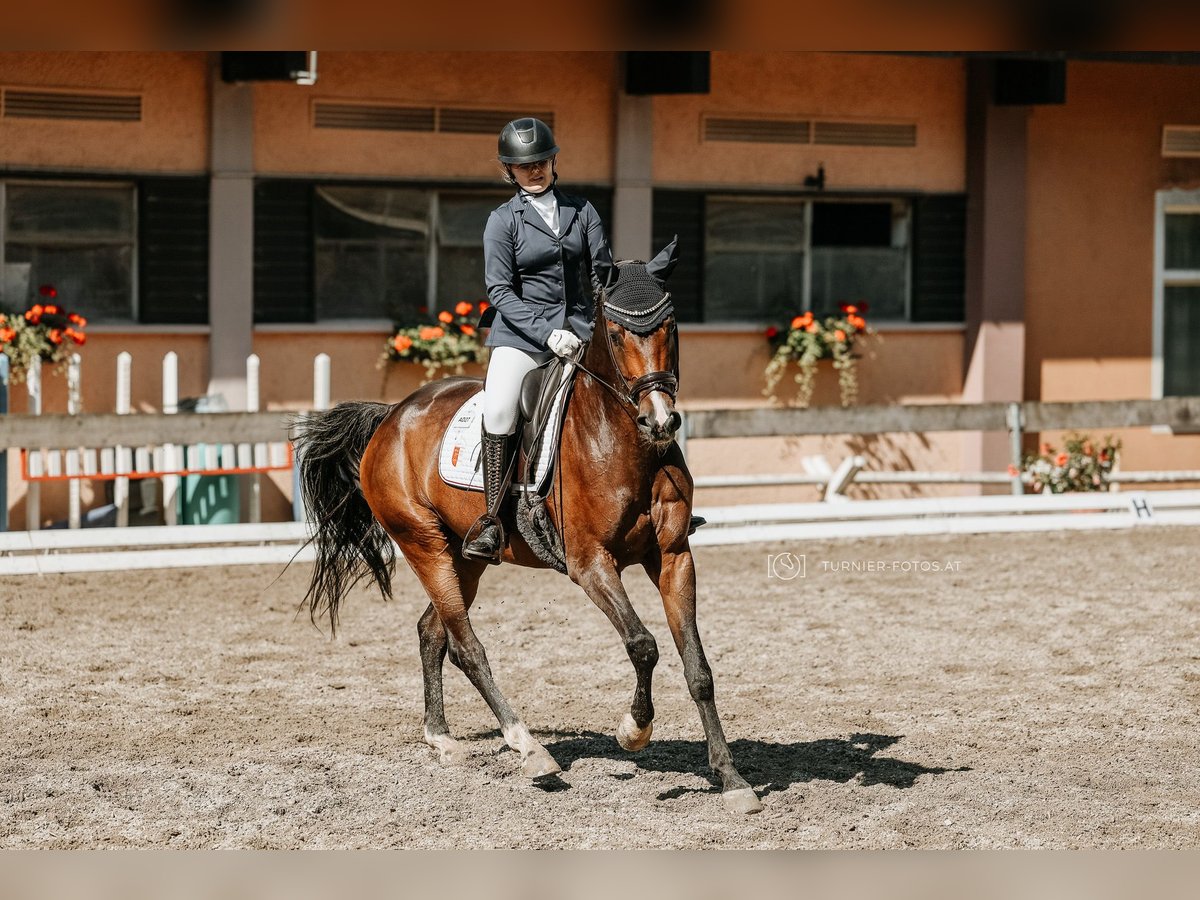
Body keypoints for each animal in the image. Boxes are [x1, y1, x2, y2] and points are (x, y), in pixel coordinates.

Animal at [292, 241, 758, 816]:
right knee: (467, 647)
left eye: (669, 327)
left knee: (433, 632)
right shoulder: (590, 564)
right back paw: (530, 749)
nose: (660, 422)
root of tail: (392, 416)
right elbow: (643, 644)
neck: (625, 442)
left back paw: (442, 739)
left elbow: (699, 668)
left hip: (464, 556)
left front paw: (732, 779)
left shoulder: (673, 557)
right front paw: (633, 731)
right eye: (616, 333)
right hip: (424, 545)